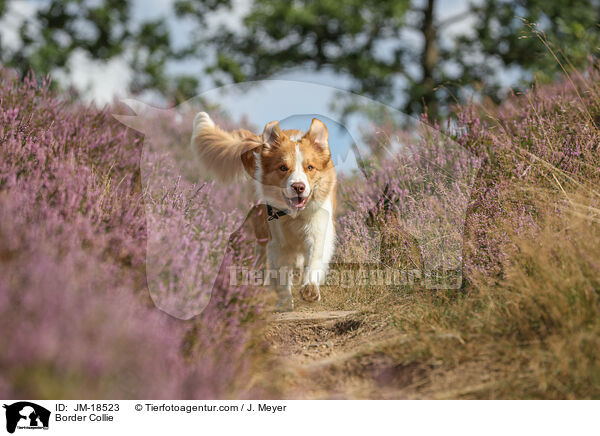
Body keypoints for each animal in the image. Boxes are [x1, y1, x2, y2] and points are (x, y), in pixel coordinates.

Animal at [190, 112, 336, 310]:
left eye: (310, 167)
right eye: (283, 168)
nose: (298, 187)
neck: (292, 216)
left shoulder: (317, 228)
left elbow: (314, 258)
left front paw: (310, 290)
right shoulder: (275, 240)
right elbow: (280, 272)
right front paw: (284, 300)